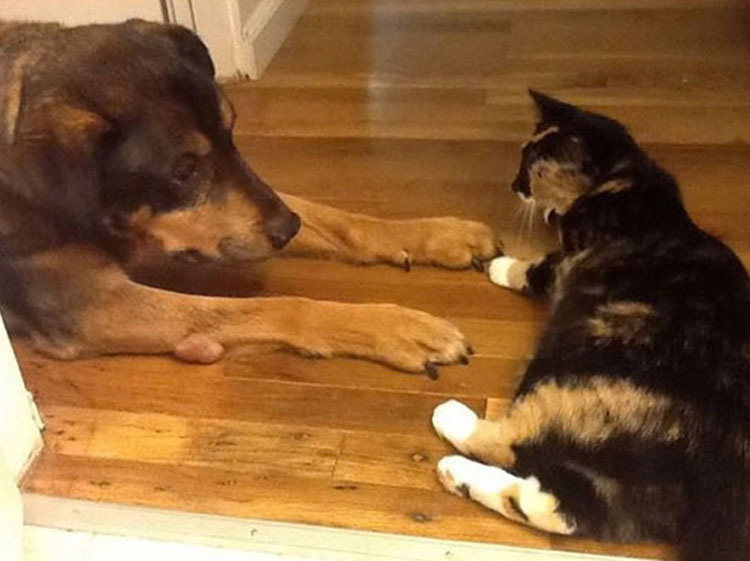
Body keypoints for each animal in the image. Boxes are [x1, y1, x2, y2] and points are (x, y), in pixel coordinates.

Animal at [1, 19, 506, 376]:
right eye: (185, 170)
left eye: (231, 134)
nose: (288, 230)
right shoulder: (92, 305)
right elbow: (280, 305)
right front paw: (396, 327)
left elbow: (337, 218)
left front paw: (437, 234)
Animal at [432, 89, 750, 556]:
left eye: (532, 165)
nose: (514, 185)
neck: (624, 177)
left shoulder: (569, 256)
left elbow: (537, 268)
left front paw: (501, 265)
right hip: (626, 490)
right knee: (559, 505)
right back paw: (455, 473)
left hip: (566, 378)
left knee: (512, 445)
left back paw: (453, 418)